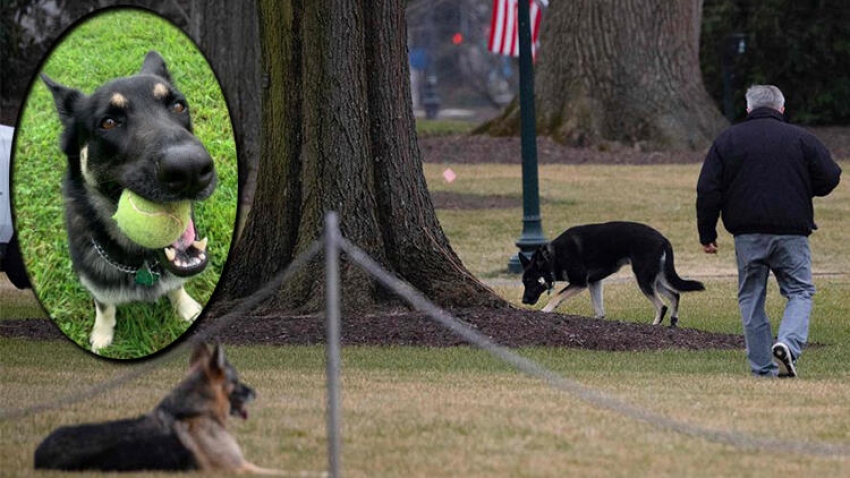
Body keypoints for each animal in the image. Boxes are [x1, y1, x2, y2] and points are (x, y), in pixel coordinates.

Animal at [34, 344, 280, 474]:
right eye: (236, 381)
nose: (255, 392)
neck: (193, 411)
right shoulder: (238, 468)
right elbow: (279, 471)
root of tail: (38, 456)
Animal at [42, 51, 215, 352]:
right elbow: (104, 306)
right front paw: (102, 333)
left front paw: (185, 307)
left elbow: (177, 286)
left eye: (178, 106)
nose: (191, 169)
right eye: (109, 123)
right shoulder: (96, 285)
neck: (141, 263)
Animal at [516, 221, 704, 326]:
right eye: (524, 282)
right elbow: (599, 309)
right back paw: (673, 322)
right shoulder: (594, 283)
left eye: (531, 281)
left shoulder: (580, 282)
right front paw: (598, 320)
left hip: (643, 279)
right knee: (675, 295)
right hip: (653, 279)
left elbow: (556, 296)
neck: (553, 257)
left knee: (662, 305)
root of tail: (664, 240)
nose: (524, 301)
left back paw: (655, 325)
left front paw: (545, 310)